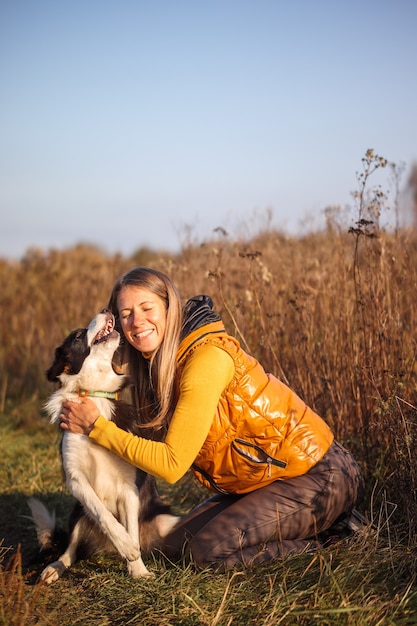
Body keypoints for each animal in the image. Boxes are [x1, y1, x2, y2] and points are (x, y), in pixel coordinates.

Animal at [28, 308, 179, 580]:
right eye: (78, 335)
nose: (107, 310)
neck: (95, 395)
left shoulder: (130, 488)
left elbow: (130, 529)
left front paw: (138, 571)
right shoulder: (76, 479)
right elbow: (104, 514)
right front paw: (126, 546)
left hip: (167, 519)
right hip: (78, 515)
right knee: (70, 550)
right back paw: (54, 568)